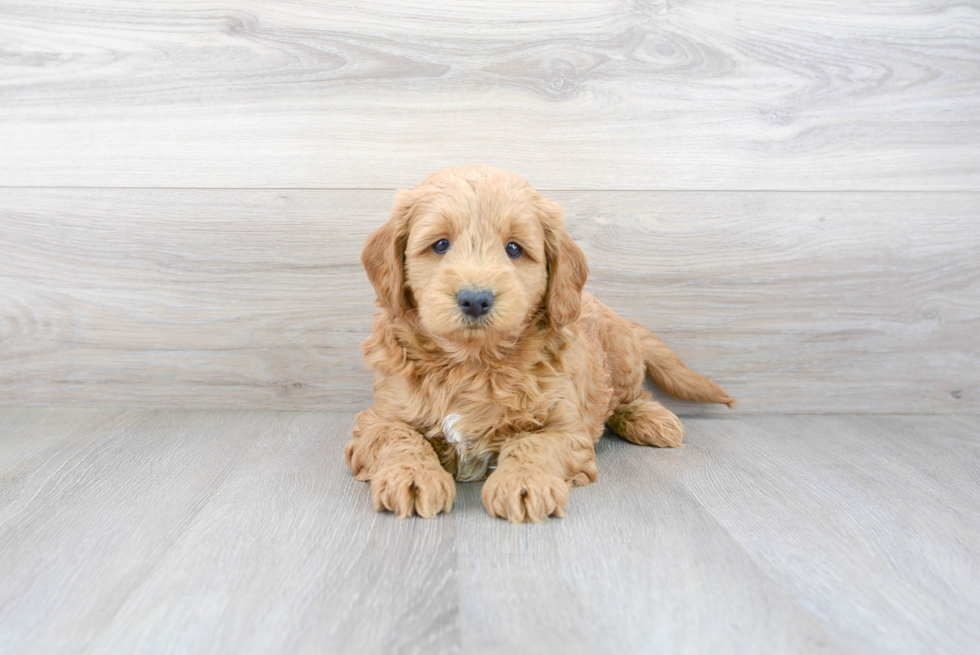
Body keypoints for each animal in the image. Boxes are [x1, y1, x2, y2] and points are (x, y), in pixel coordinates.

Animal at [344, 167, 736, 524]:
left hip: (620, 356)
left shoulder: (566, 426)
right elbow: (398, 436)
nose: (475, 299)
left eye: (514, 249)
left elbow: (534, 443)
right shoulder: (378, 417)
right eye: (440, 244)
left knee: (630, 396)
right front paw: (412, 477)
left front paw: (523, 483)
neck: (473, 363)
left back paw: (651, 420)